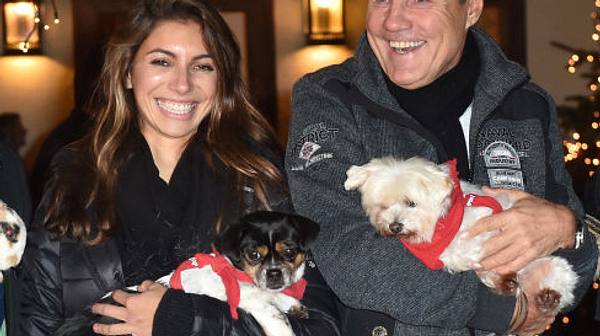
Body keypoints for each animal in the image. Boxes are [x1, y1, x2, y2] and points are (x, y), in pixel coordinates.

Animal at [344, 156, 580, 314]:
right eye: (382, 206)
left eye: (411, 203)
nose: (394, 226)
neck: (443, 223)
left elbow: (464, 248)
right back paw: (507, 282)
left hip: (553, 268)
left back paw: (548, 297)